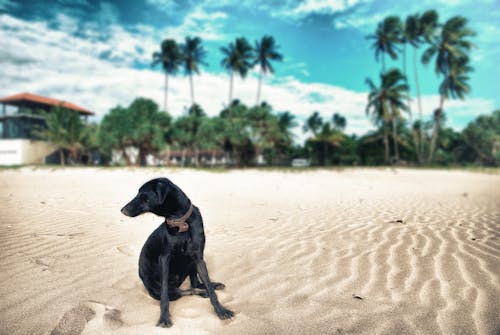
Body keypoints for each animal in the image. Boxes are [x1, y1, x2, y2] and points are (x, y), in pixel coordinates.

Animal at [120, 178, 233, 328]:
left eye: (143, 196)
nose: (122, 210)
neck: (181, 222)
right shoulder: (165, 259)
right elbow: (165, 295)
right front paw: (164, 318)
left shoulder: (198, 257)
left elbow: (209, 286)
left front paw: (221, 310)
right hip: (160, 289)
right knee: (181, 291)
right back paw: (201, 293)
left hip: (191, 263)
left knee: (195, 284)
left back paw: (210, 288)